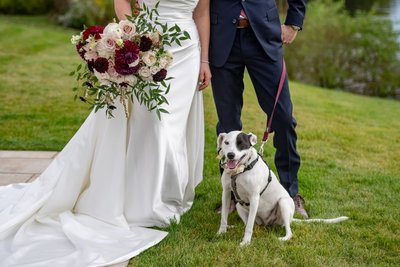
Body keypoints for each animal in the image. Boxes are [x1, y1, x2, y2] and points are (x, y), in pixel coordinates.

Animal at [217, 132, 348, 247]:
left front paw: (245, 242)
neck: (239, 172)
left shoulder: (254, 198)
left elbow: (249, 227)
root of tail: (268, 223)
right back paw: (233, 227)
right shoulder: (226, 193)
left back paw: (284, 238)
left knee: (288, 231)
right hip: (240, 206)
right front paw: (221, 232)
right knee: (252, 223)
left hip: (283, 202)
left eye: (241, 144)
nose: (230, 155)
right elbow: (224, 217)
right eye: (226, 142)